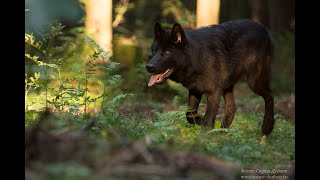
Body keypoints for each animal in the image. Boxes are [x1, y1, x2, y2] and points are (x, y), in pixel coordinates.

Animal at [146, 19, 274, 135]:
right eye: (154, 51)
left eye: (167, 52)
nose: (148, 67)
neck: (197, 58)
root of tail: (263, 28)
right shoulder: (195, 90)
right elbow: (190, 115)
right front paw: (207, 125)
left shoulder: (214, 92)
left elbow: (207, 120)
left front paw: (203, 138)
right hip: (227, 85)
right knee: (232, 108)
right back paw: (222, 131)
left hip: (254, 82)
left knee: (270, 96)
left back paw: (267, 127)